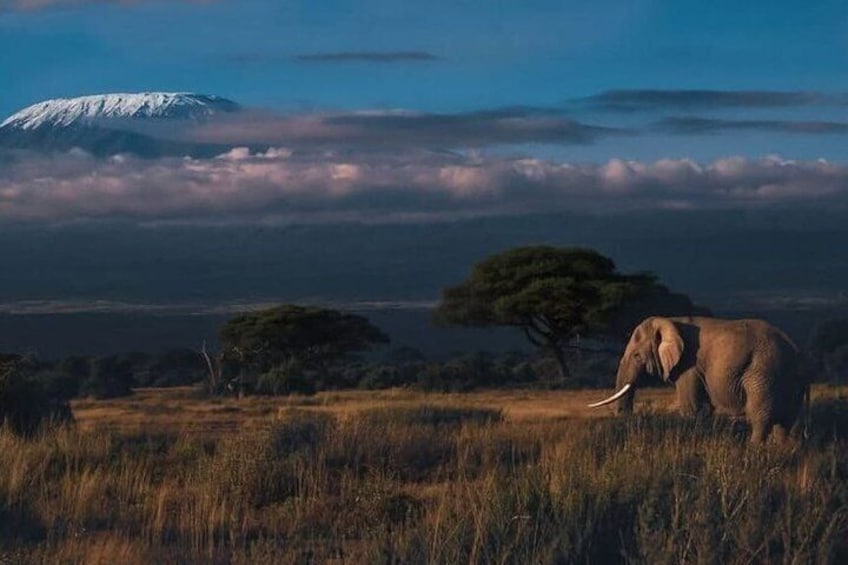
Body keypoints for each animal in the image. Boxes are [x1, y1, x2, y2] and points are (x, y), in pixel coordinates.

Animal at [589, 316, 808, 443]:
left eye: (636, 356)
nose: (626, 418)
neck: (670, 320)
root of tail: (796, 350)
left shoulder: (690, 364)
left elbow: (693, 408)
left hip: (762, 370)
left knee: (760, 414)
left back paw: (754, 451)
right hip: (785, 376)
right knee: (788, 419)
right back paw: (784, 451)